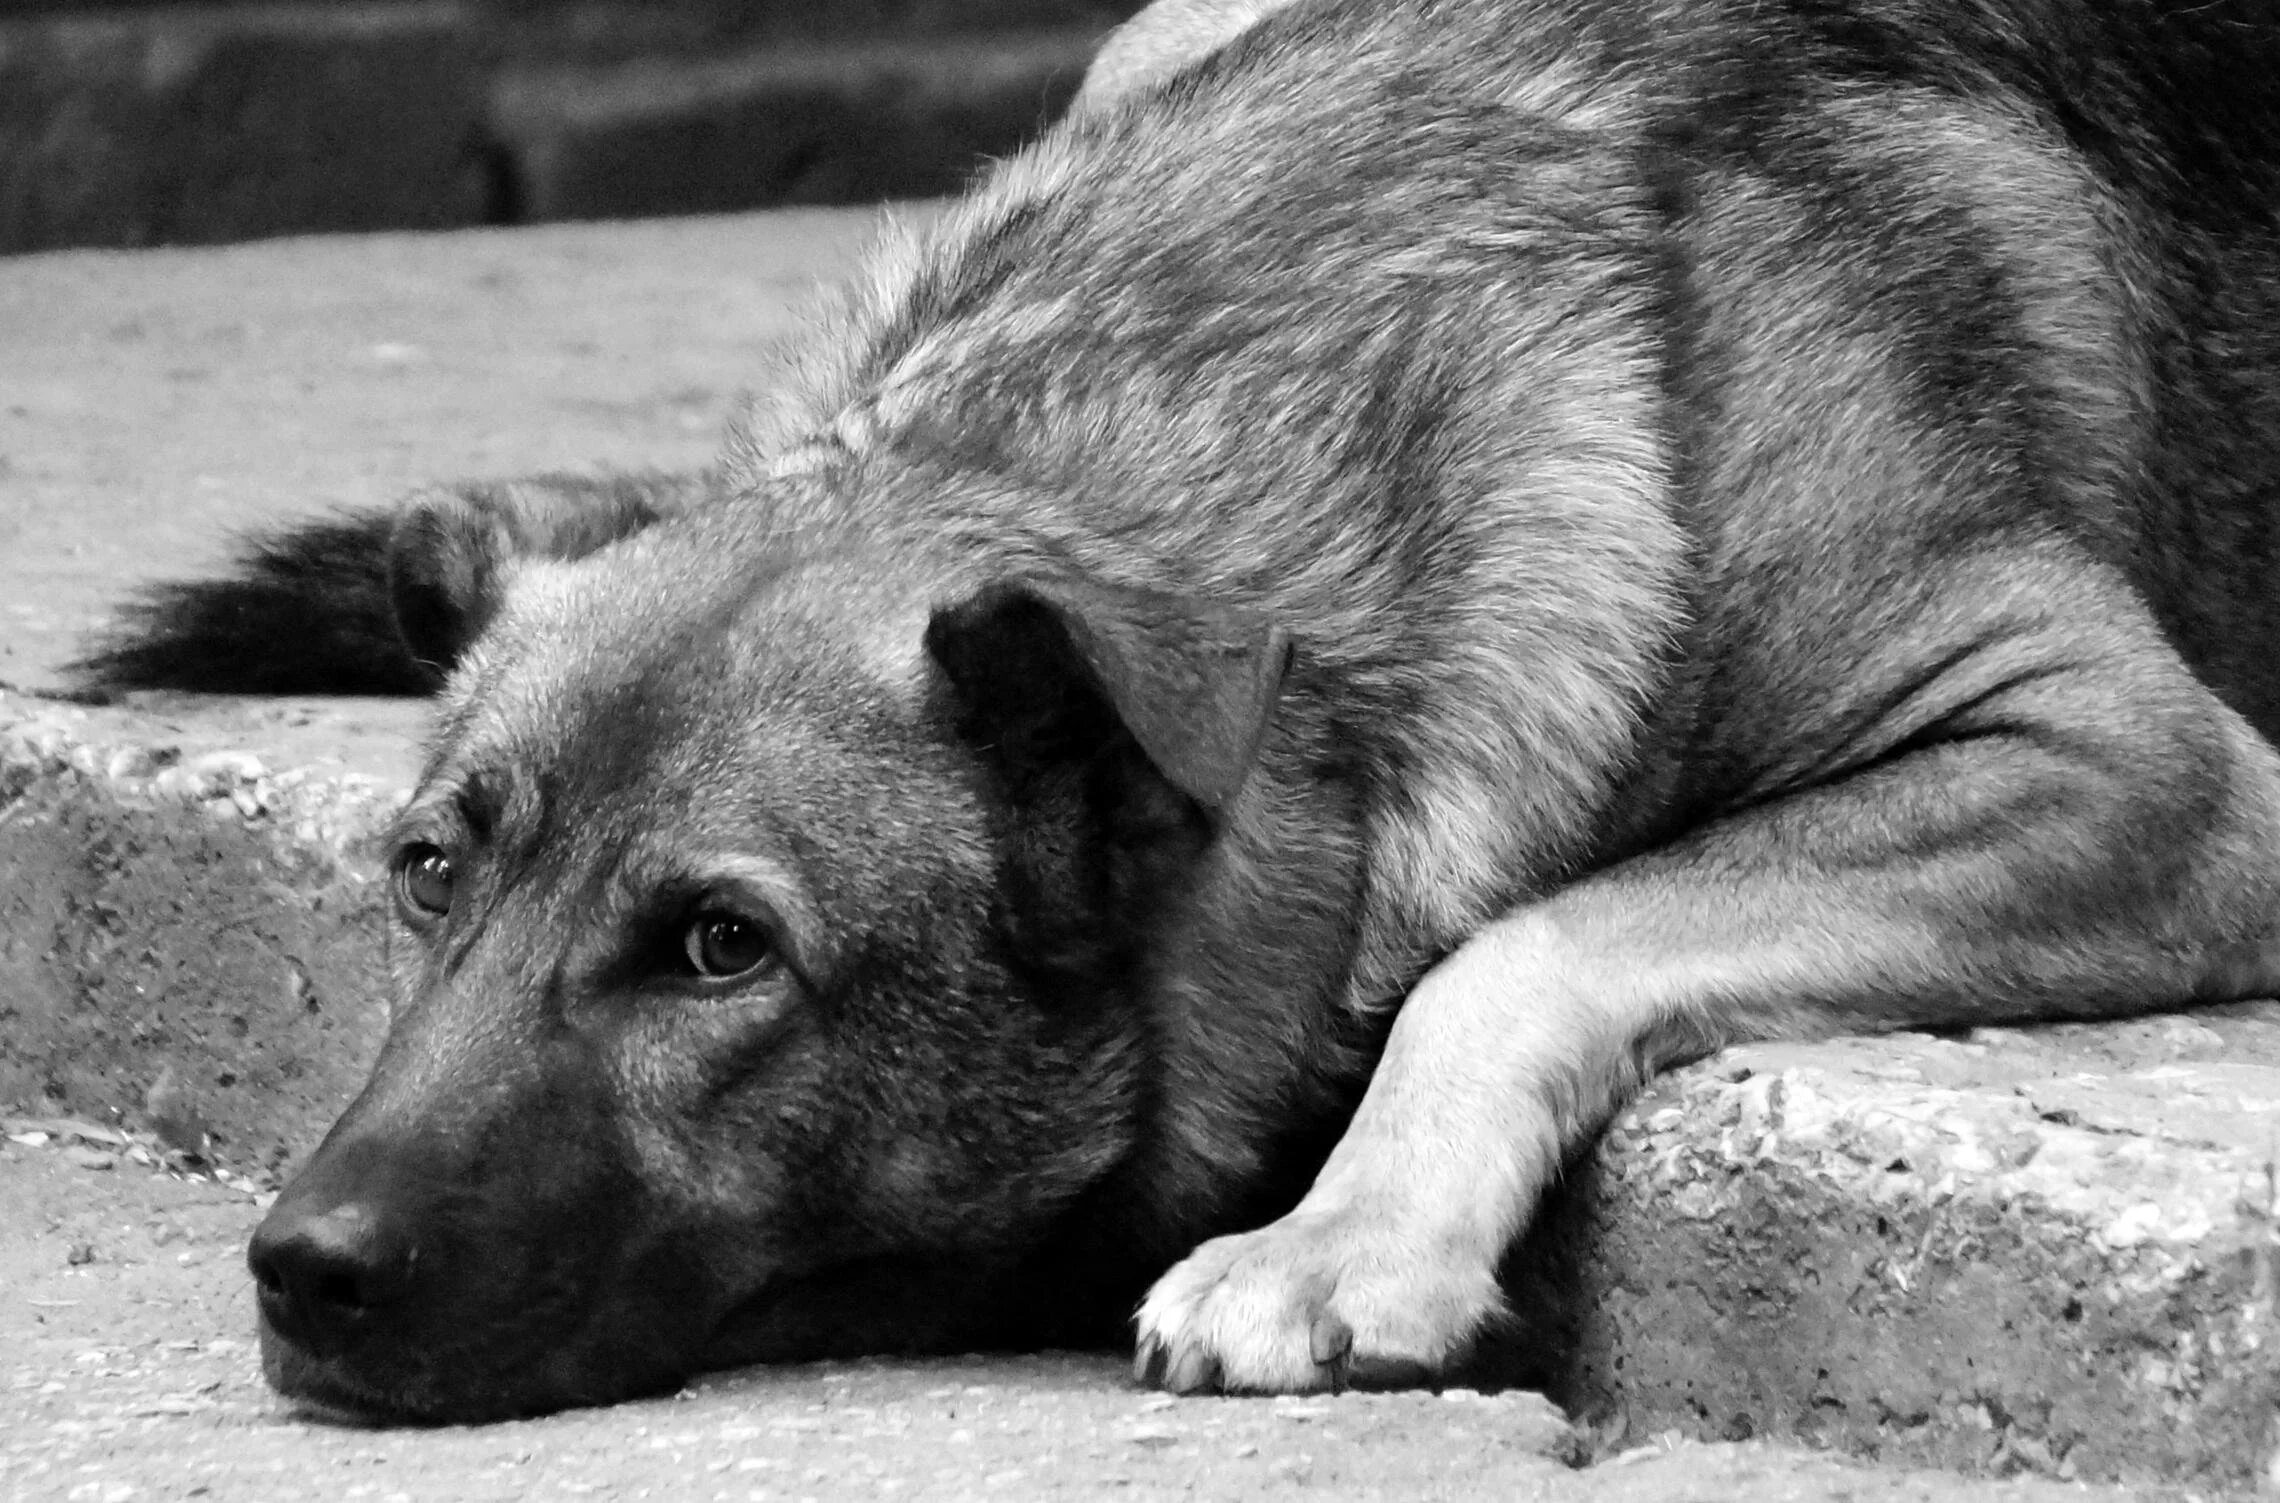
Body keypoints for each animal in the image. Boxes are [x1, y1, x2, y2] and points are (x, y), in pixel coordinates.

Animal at [80, 0, 2280, 1423]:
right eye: (426, 872)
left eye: (722, 946)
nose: (303, 1269)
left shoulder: (2135, 757)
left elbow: (1522, 943)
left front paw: (1341, 1232)